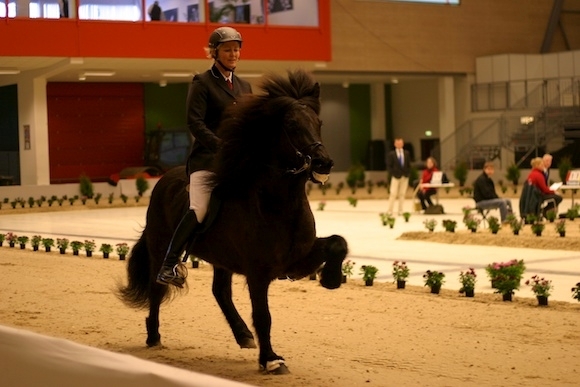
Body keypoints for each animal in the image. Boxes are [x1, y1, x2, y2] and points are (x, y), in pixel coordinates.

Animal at [115, 69, 346, 376]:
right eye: (292, 125)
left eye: (318, 123)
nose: (323, 163)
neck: (277, 203)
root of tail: (163, 179)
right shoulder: (258, 271)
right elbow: (263, 315)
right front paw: (271, 359)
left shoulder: (298, 259)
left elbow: (337, 243)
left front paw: (331, 278)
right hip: (160, 247)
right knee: (157, 288)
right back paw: (153, 336)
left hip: (221, 258)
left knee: (220, 292)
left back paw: (243, 335)